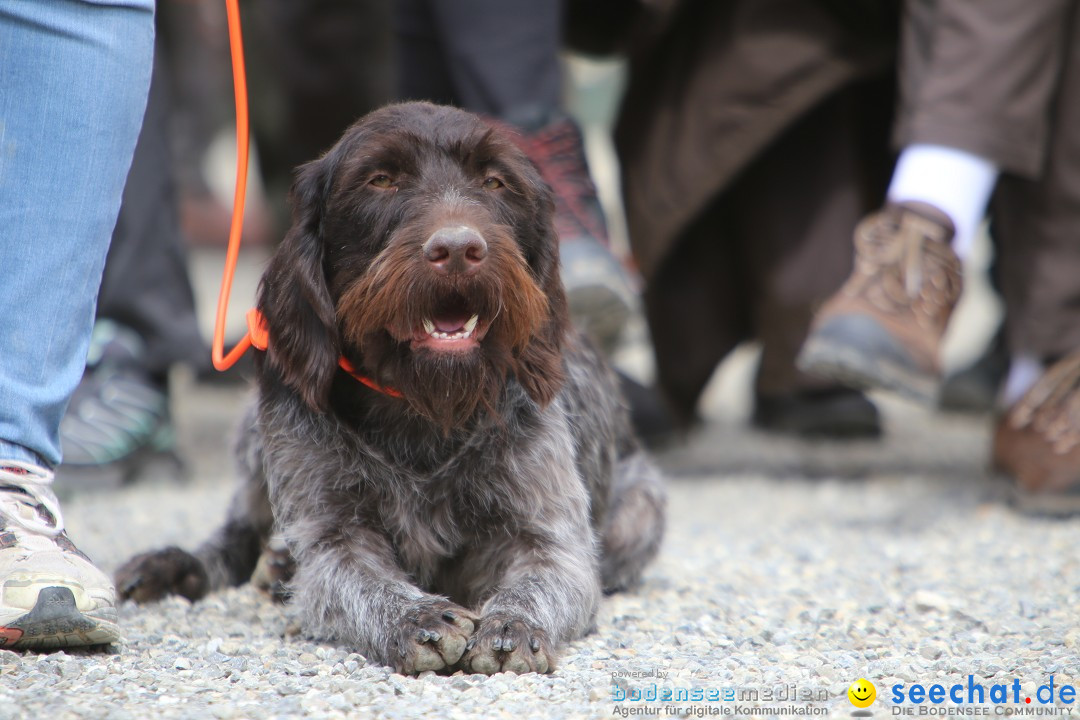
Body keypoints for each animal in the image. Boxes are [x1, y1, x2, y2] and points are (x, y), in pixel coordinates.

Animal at [113, 101, 660, 677]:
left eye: (495, 181)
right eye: (380, 180)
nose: (458, 248)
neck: (423, 408)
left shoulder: (551, 538)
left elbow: (543, 576)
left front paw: (512, 623)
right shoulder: (332, 536)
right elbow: (360, 581)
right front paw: (418, 618)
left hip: (640, 514)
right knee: (238, 533)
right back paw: (187, 564)